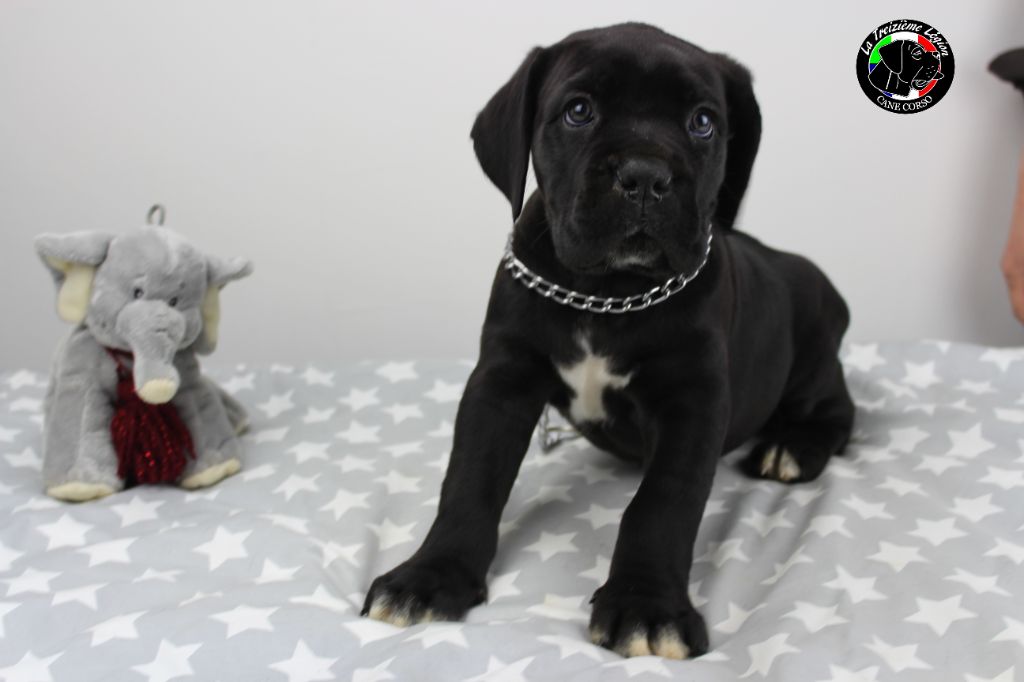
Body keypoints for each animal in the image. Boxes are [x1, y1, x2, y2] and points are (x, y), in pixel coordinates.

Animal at [363, 22, 854, 659]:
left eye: (703, 121)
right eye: (578, 111)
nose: (645, 175)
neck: (606, 293)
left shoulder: (694, 401)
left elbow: (662, 503)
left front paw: (647, 607)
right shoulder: (500, 380)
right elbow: (469, 478)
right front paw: (429, 577)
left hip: (813, 351)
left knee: (841, 409)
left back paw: (791, 447)